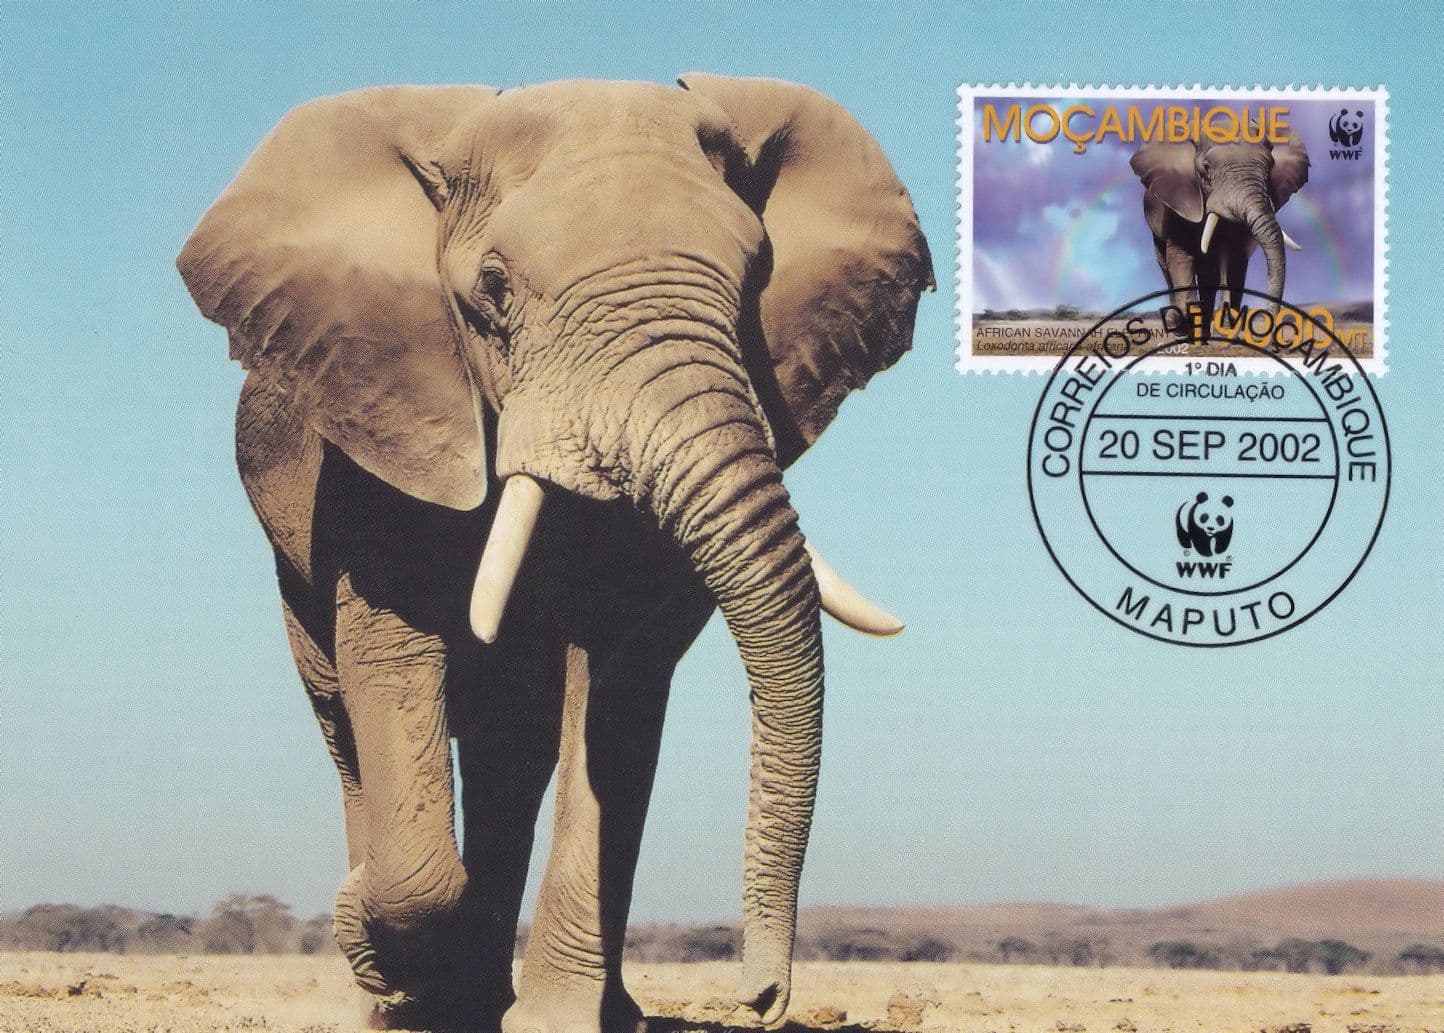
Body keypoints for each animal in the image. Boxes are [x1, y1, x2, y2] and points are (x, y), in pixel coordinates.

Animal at [177, 76, 931, 1033]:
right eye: (493, 289)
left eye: (758, 278)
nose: (762, 995)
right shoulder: (387, 432)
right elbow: (393, 658)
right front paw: (375, 944)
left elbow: (617, 687)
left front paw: (554, 1021)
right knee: (347, 721)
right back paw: (397, 997)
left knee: (516, 747)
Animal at [1130, 127, 1309, 327]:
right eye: (1206, 168)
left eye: (1270, 166)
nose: (1269, 314)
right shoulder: (1181, 200)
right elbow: (1181, 256)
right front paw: (1184, 323)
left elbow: (1234, 261)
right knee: (1166, 264)